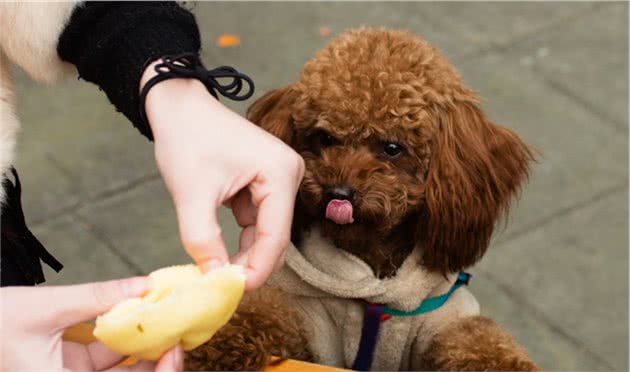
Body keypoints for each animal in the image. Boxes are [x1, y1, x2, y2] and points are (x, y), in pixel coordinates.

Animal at [185, 27, 540, 370]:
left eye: (393, 148)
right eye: (324, 138)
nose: (338, 193)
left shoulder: (442, 318)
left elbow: (476, 339)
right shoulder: (308, 318)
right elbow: (263, 312)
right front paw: (214, 344)